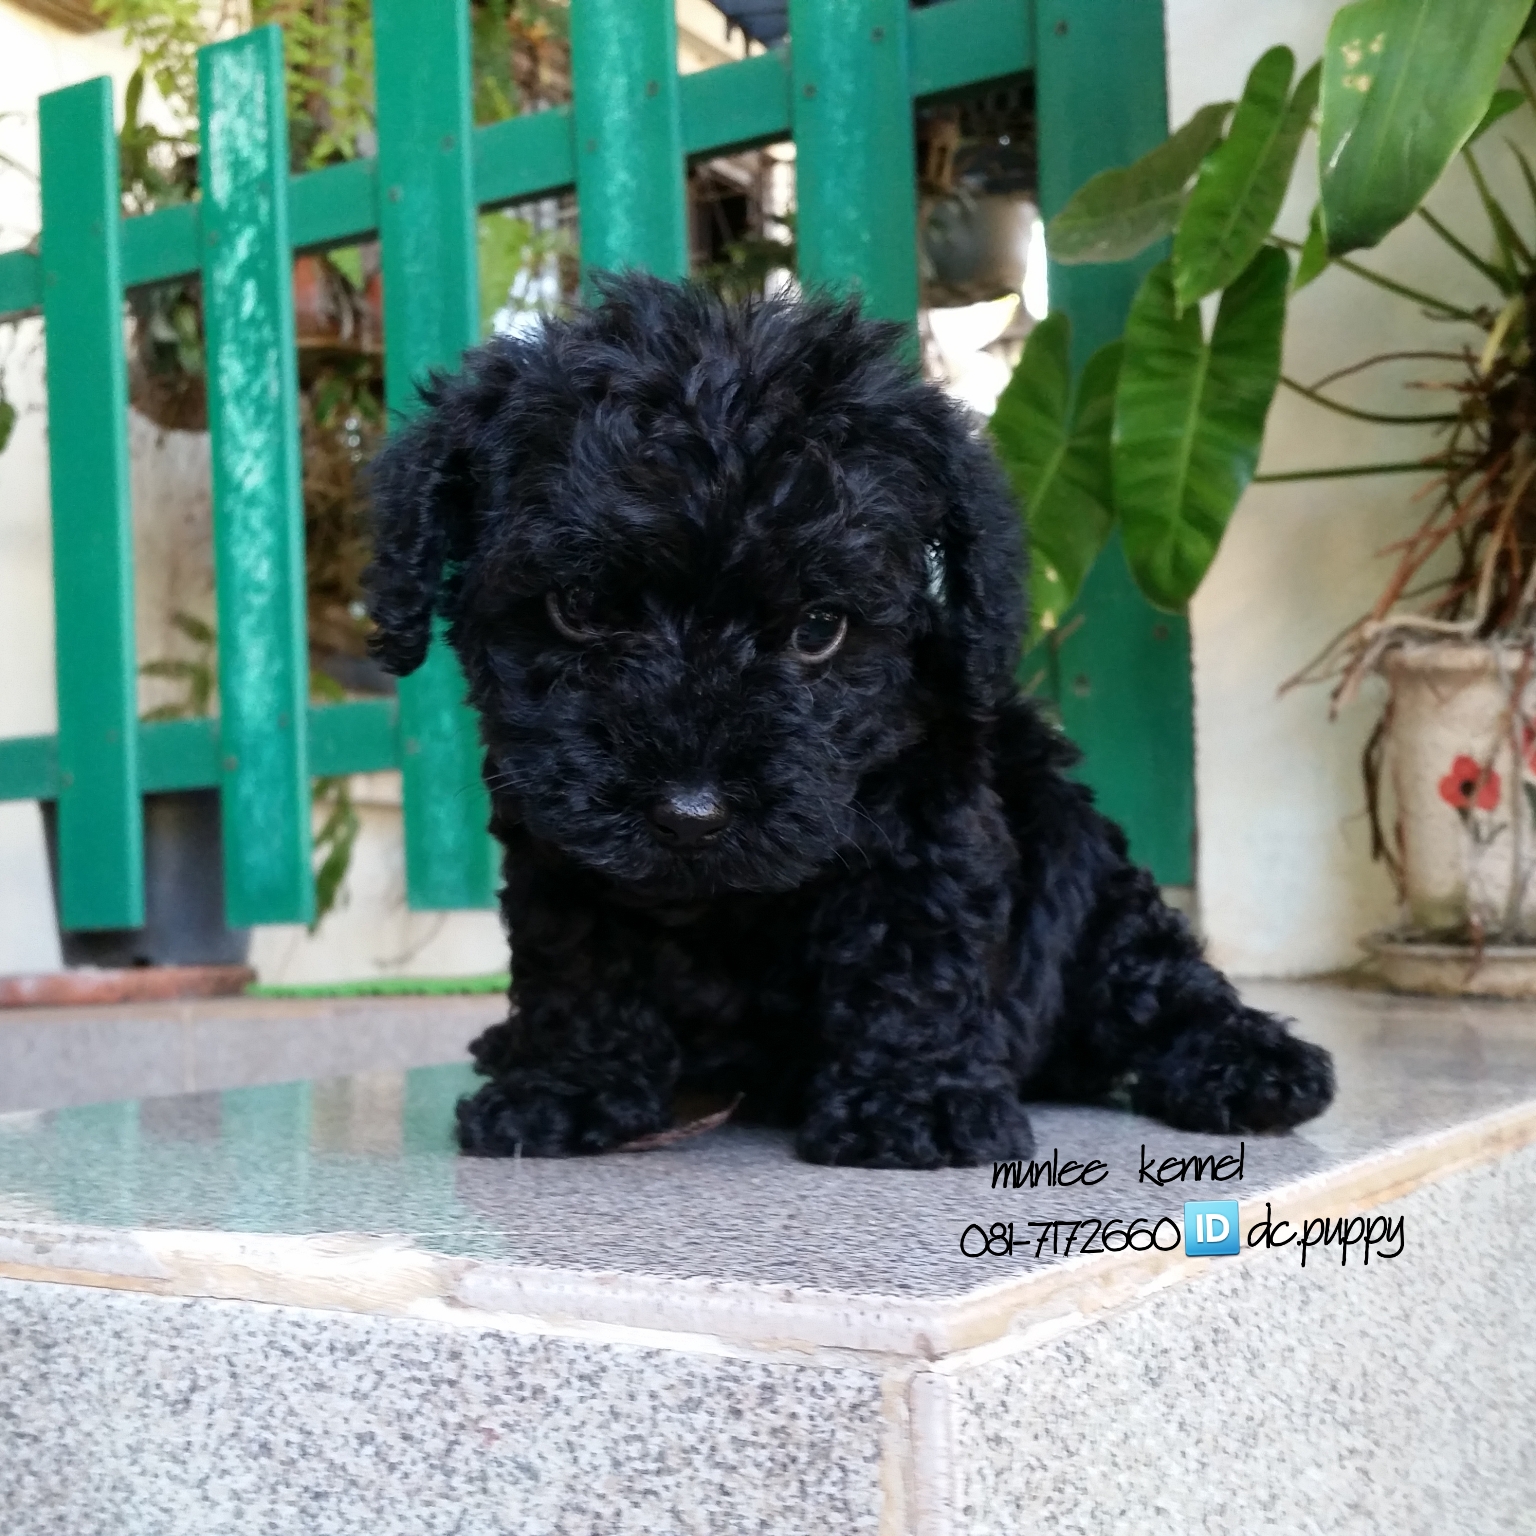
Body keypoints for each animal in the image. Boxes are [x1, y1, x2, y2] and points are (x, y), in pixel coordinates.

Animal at [363, 273, 1334, 1169]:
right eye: (575, 609)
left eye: (819, 628)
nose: (691, 813)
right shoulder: (560, 846)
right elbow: (579, 958)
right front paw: (565, 1089)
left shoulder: (927, 818)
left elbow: (911, 944)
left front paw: (915, 1105)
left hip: (1078, 859)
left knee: (1147, 974)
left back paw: (1249, 1063)